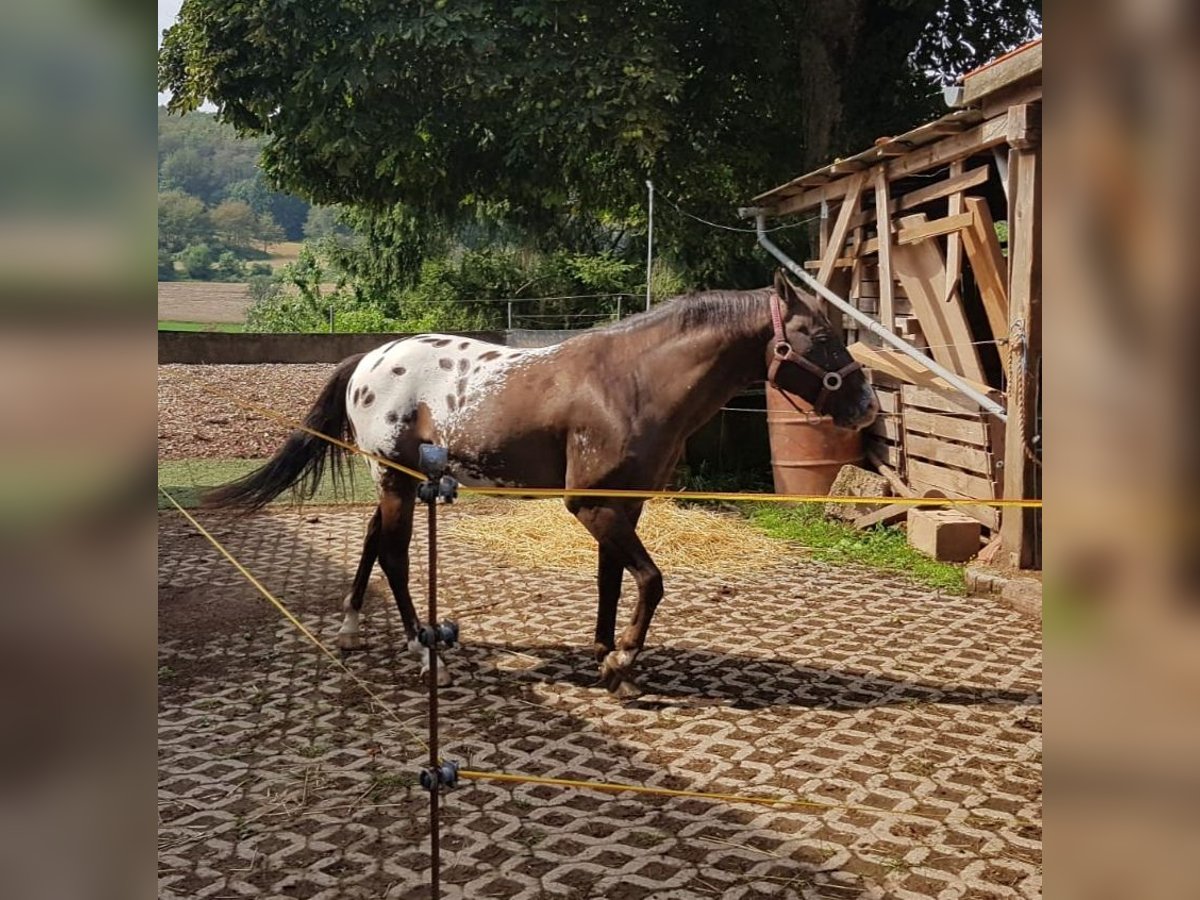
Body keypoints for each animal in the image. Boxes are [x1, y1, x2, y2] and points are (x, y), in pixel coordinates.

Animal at [204, 271, 883, 700]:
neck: (632, 382)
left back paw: (349, 633)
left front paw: (610, 662)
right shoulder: (588, 505)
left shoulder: (622, 507)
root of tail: (369, 360)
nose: (867, 408)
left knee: (373, 540)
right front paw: (622, 658)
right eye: (824, 337)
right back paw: (427, 654)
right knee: (394, 556)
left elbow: (614, 581)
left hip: (396, 484)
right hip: (398, 482)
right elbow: (652, 581)